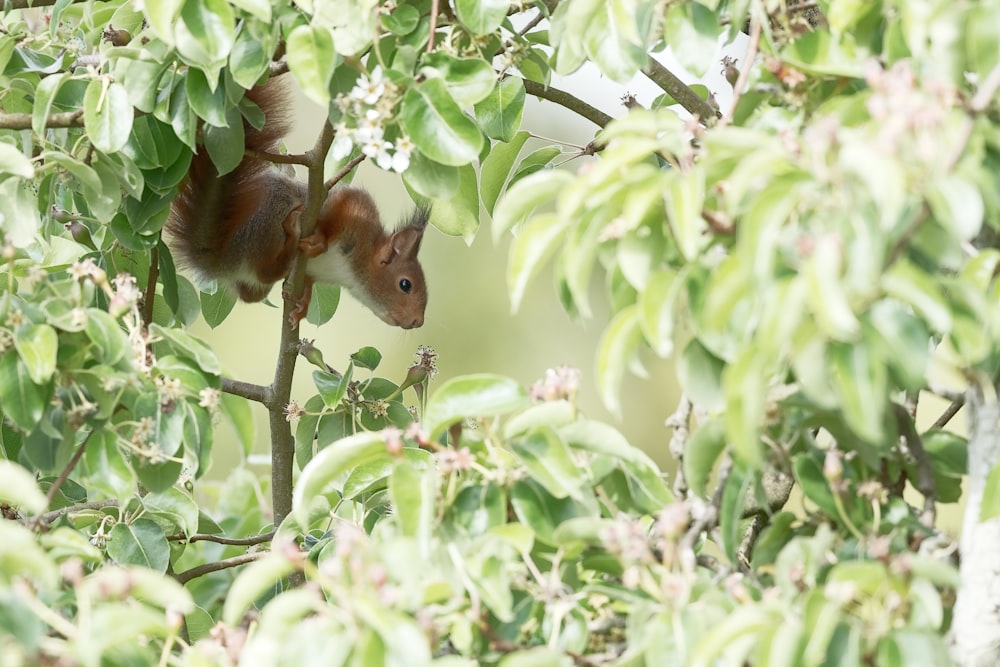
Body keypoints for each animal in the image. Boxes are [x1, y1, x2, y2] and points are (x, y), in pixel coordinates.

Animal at [165, 79, 430, 330]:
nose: (418, 322)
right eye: (405, 284)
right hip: (268, 219)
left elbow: (308, 285)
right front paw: (319, 241)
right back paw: (291, 242)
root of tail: (218, 257)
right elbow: (329, 221)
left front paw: (301, 310)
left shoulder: (314, 272)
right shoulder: (352, 207)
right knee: (265, 270)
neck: (352, 271)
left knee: (252, 293)